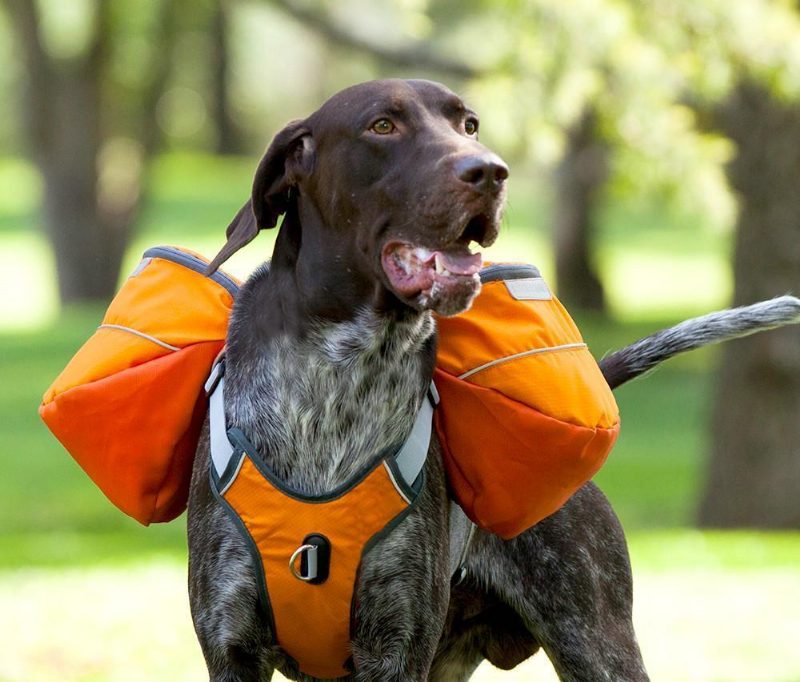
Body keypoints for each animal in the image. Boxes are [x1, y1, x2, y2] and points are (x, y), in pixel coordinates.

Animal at [188, 77, 800, 676]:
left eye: (469, 124)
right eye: (382, 125)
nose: (490, 171)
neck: (337, 383)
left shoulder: (396, 645)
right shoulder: (232, 644)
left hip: (594, 640)